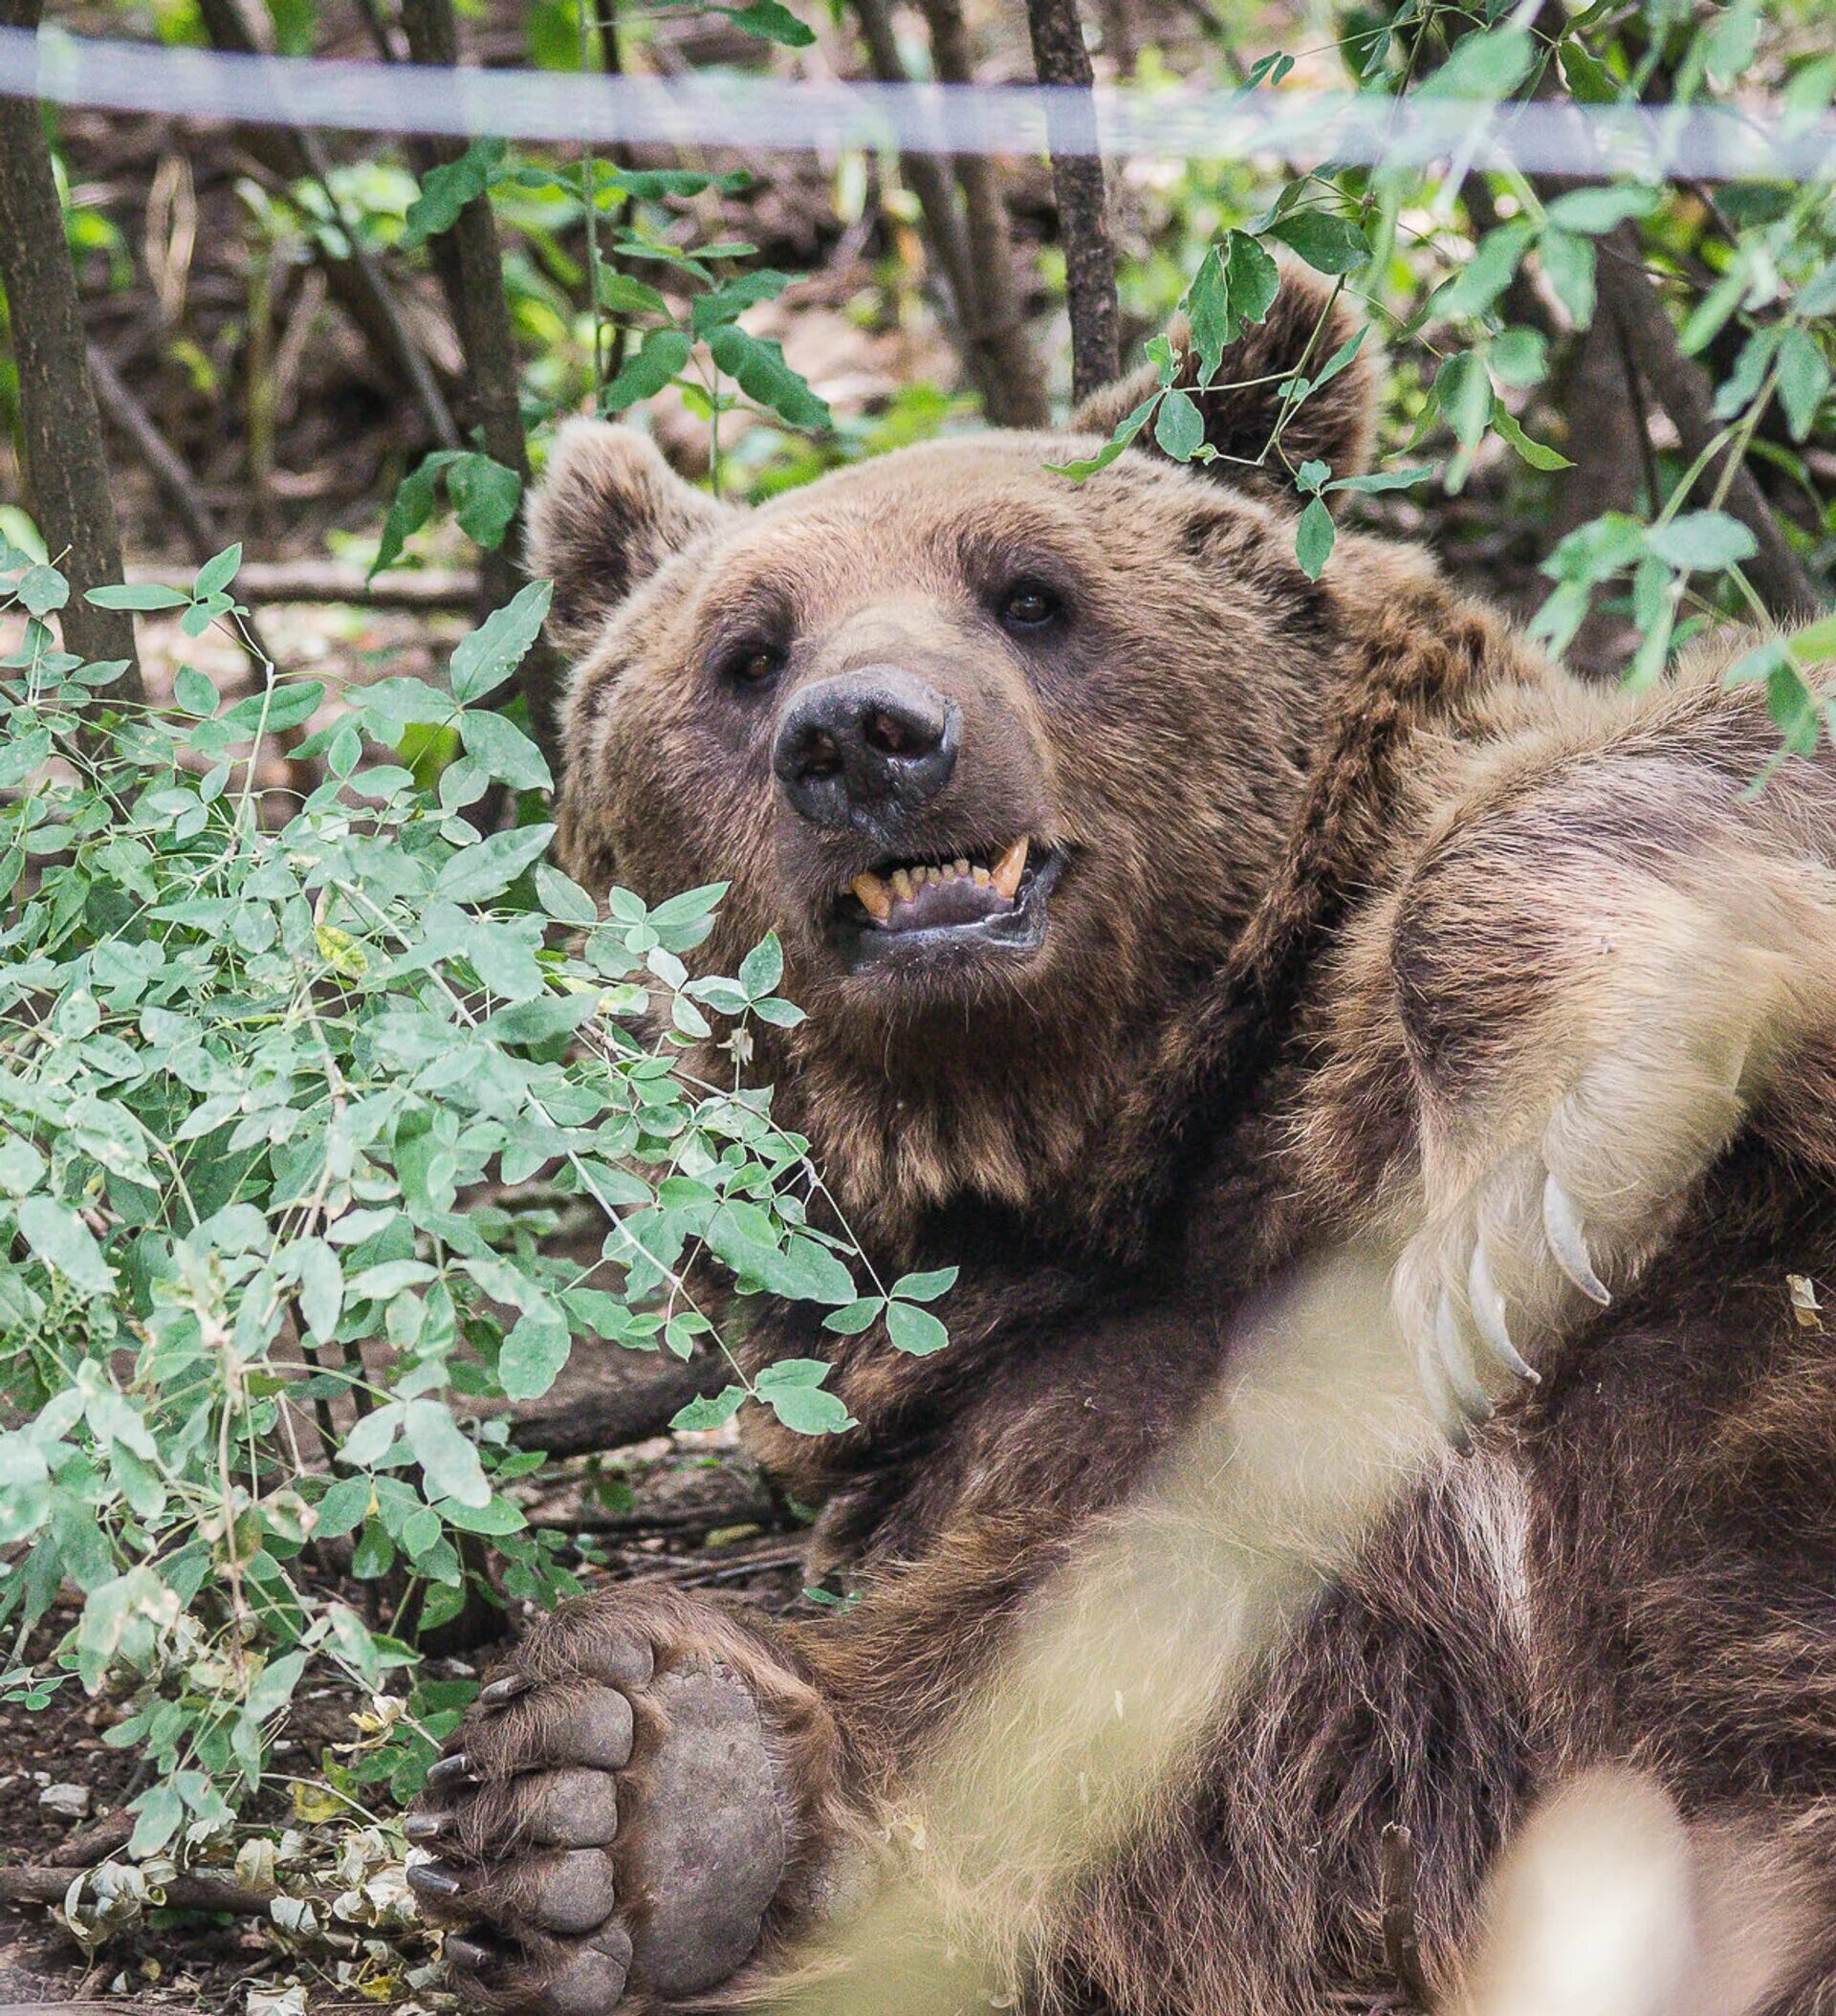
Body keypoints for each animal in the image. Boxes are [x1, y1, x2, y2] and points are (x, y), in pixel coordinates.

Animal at [403, 272, 1836, 2016]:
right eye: (747, 653)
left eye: (1030, 592)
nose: (863, 737)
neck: (1145, 1152)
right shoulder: (1071, 1422)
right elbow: (1137, 1739)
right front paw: (644, 1790)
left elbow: (1700, 761)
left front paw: (1541, 1174)